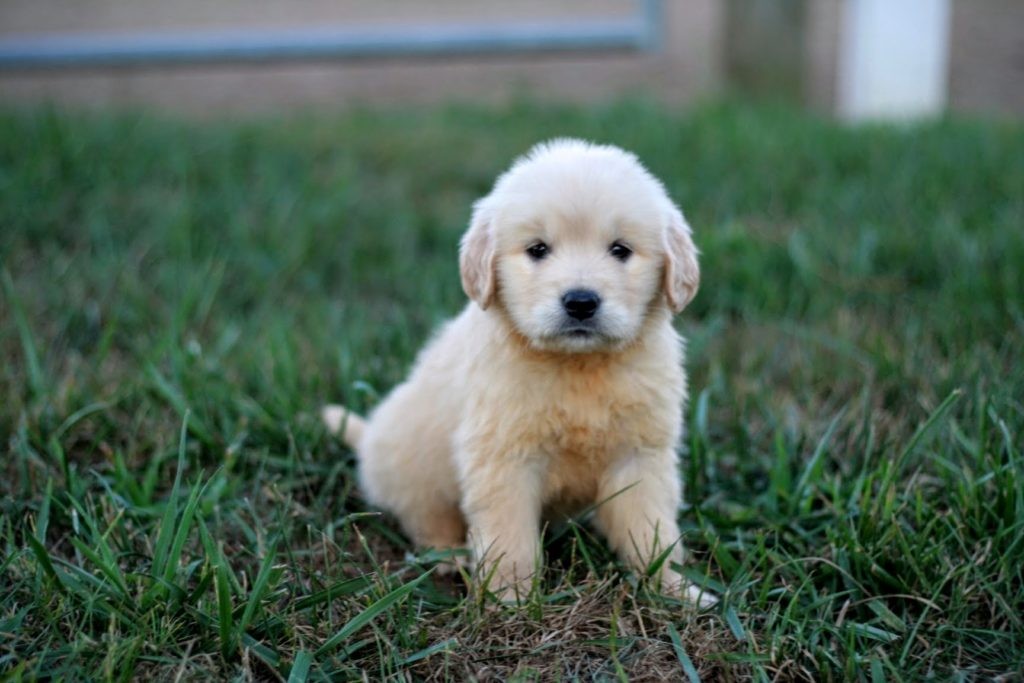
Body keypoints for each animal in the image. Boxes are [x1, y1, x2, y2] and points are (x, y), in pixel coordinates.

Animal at [325, 137, 712, 602]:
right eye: (538, 249)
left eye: (620, 250)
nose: (580, 302)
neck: (579, 365)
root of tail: (368, 440)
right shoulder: (504, 458)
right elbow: (508, 538)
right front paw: (510, 598)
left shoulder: (640, 457)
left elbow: (652, 531)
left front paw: (674, 591)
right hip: (414, 470)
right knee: (425, 518)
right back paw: (449, 556)